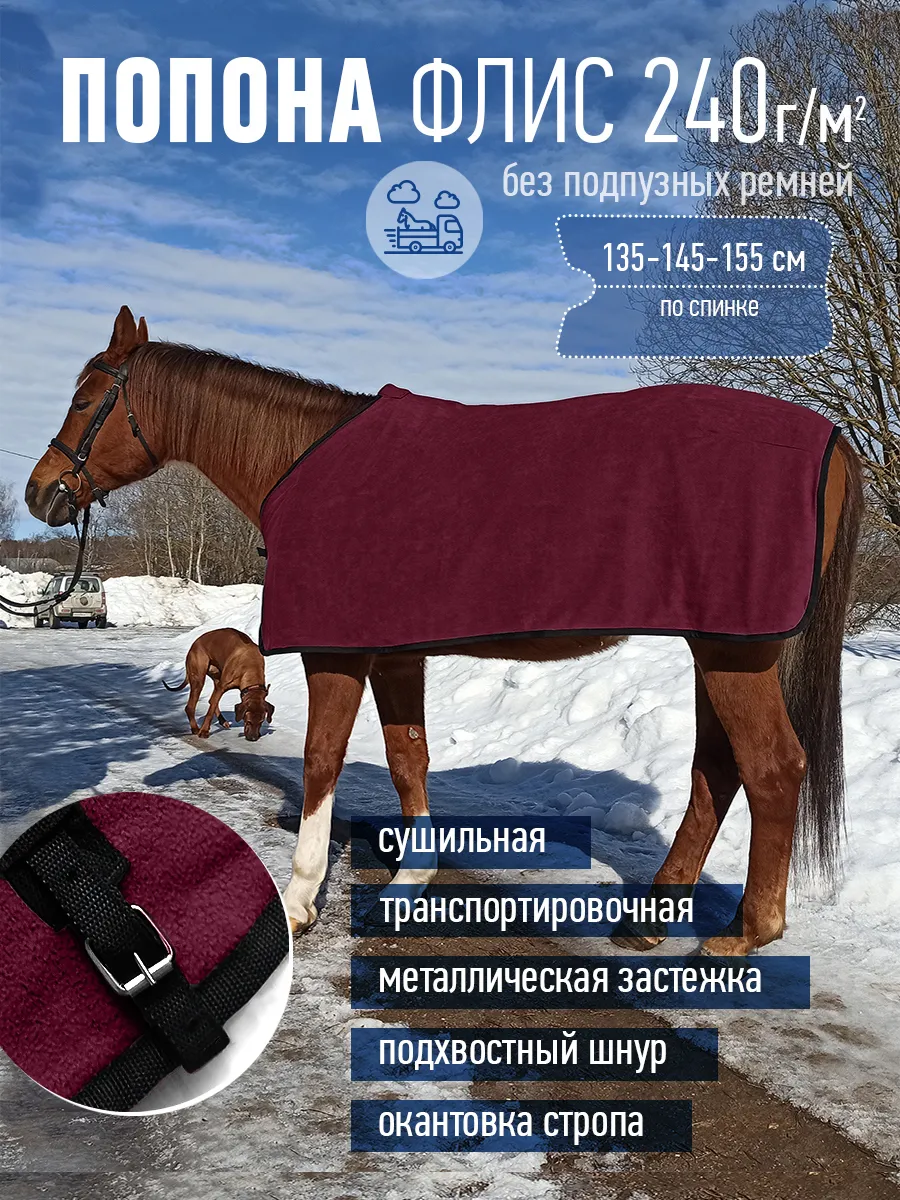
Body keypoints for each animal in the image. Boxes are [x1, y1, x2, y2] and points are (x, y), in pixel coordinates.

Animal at [25, 306, 864, 955]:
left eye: (86, 399)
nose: (39, 493)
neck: (300, 461)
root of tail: (831, 441)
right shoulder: (398, 656)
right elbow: (408, 759)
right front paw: (410, 881)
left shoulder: (338, 653)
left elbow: (324, 760)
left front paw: (299, 900)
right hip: (716, 647)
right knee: (716, 771)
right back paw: (653, 917)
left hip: (735, 653)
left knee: (772, 768)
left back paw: (747, 931)